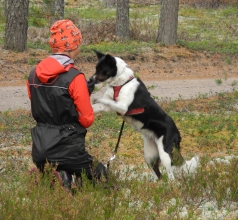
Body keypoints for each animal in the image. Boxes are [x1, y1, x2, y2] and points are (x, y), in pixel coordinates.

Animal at [91, 51, 199, 180]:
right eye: (96, 68)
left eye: (102, 69)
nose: (91, 79)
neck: (121, 83)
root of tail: (177, 132)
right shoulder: (108, 106)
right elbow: (99, 105)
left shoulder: (123, 107)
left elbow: (105, 100)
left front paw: (94, 97)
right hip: (149, 155)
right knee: (158, 174)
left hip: (165, 153)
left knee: (171, 176)